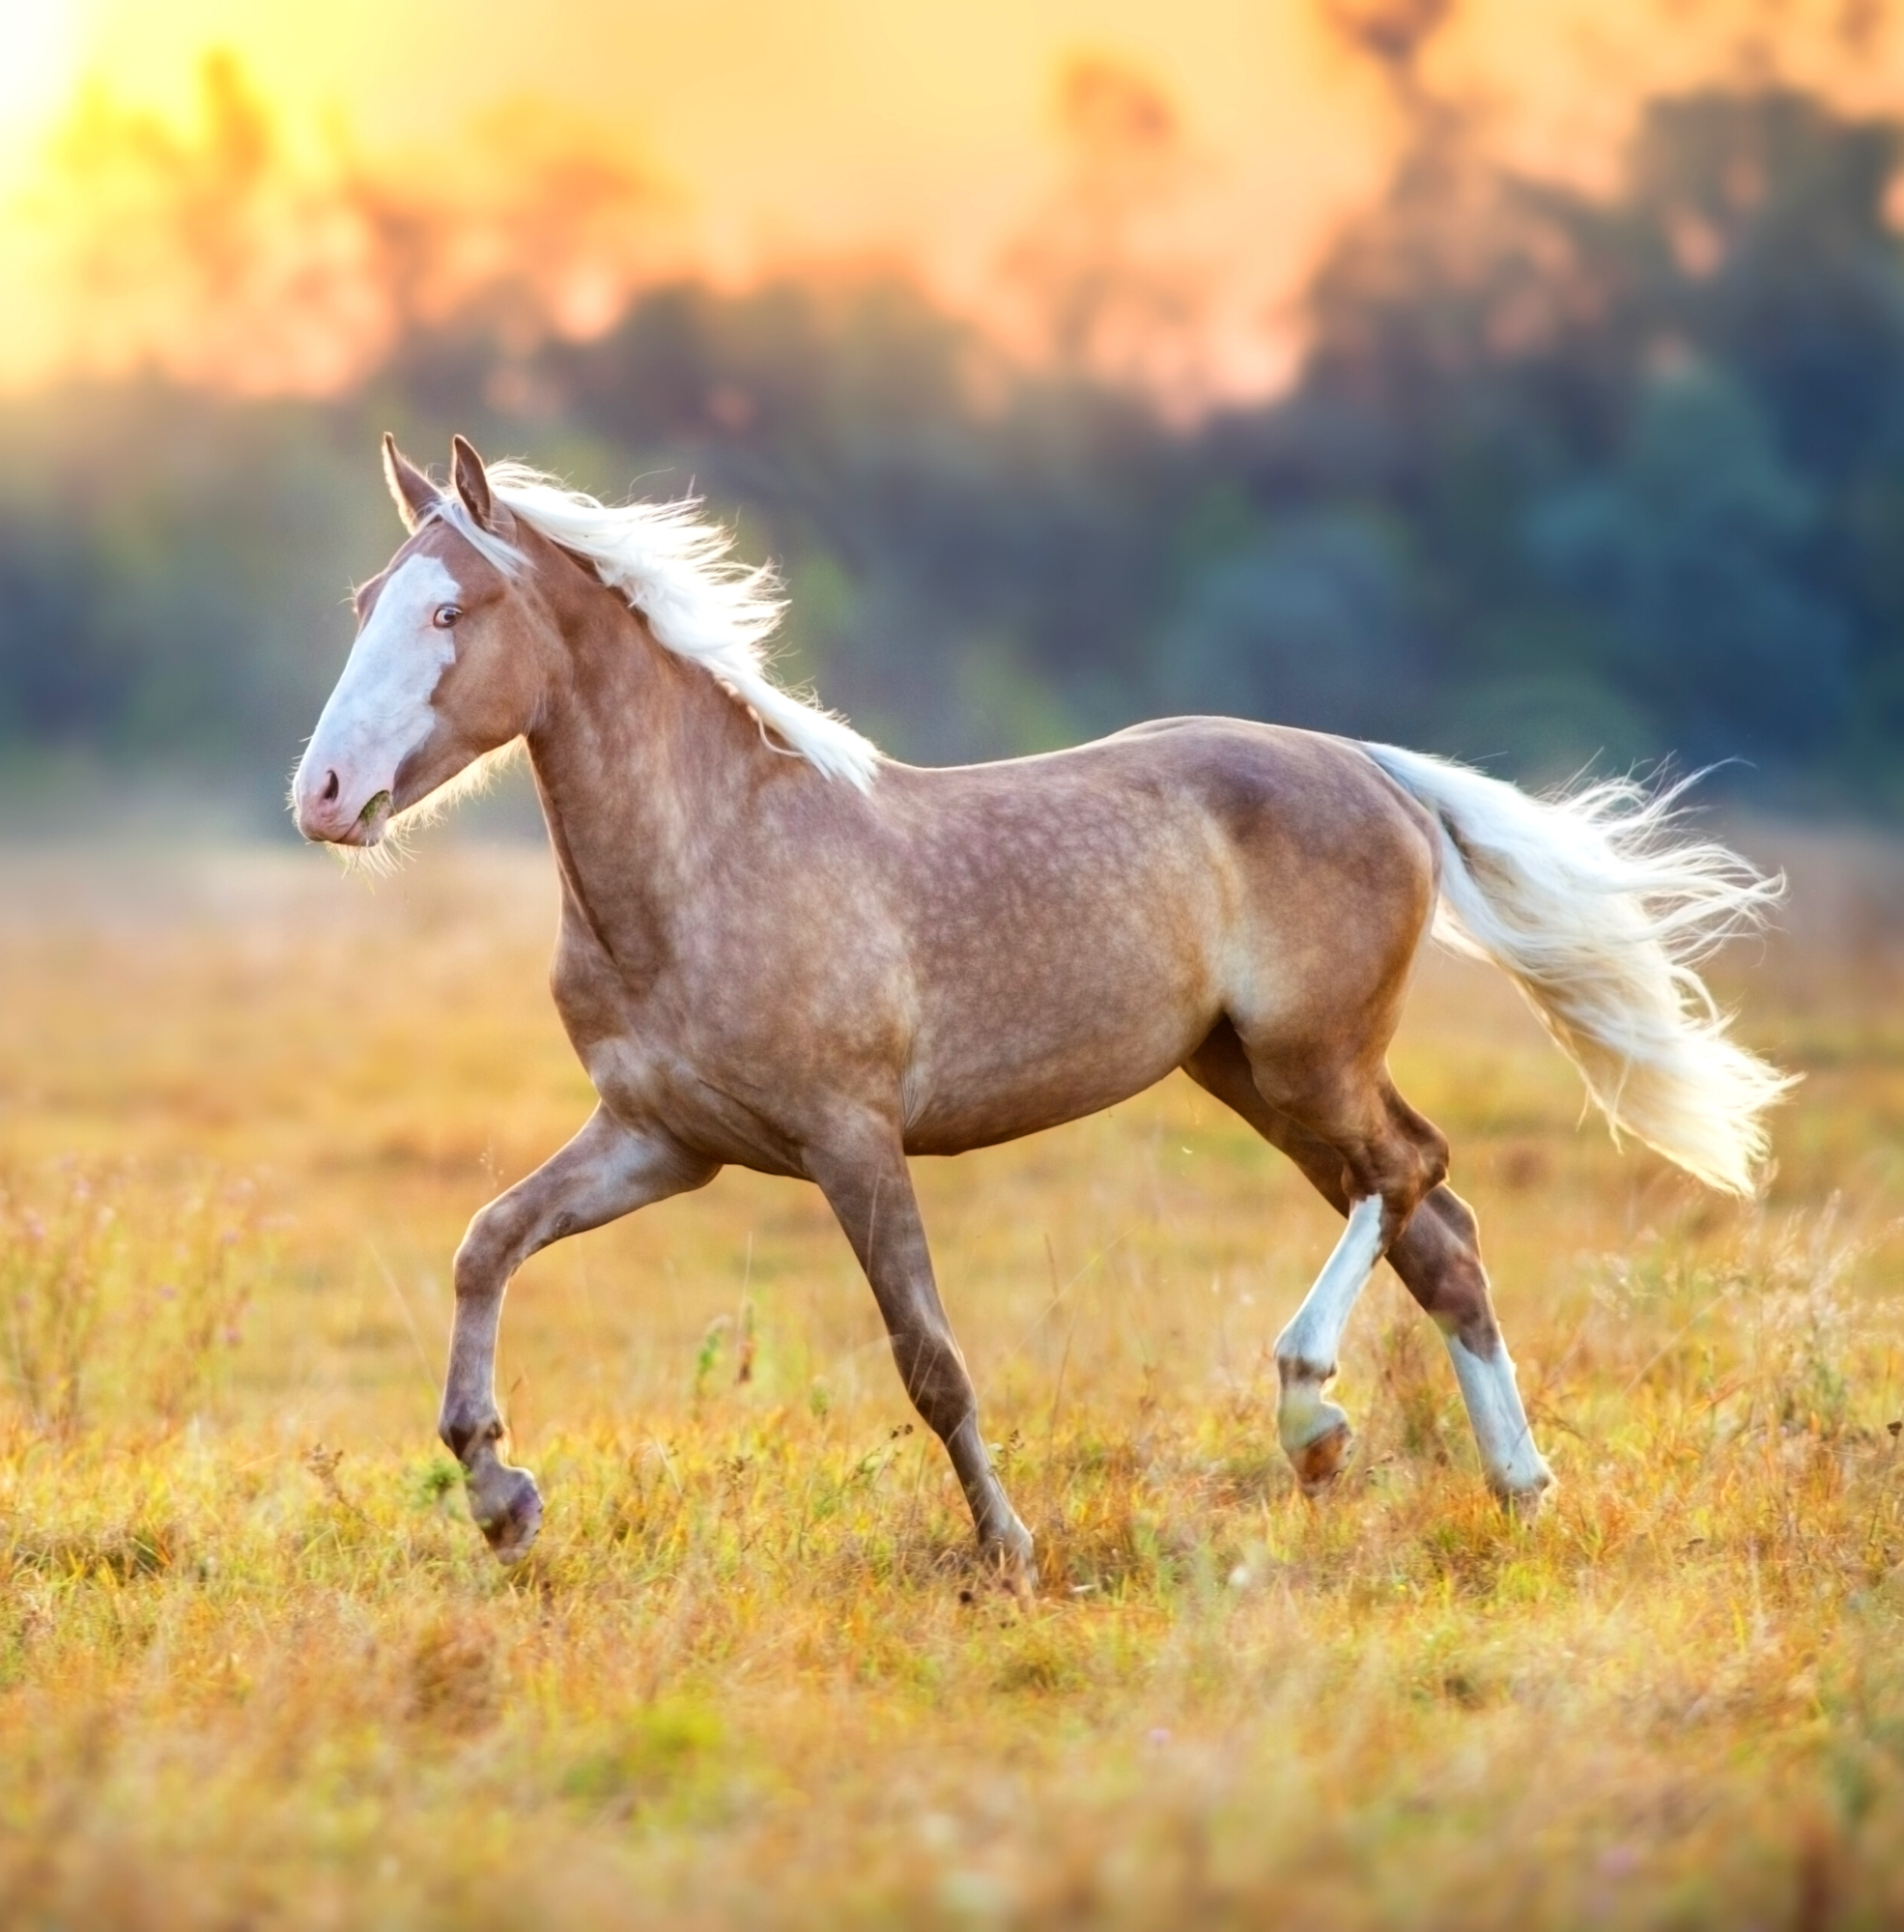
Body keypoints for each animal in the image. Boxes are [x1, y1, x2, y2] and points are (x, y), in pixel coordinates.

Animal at [289, 435, 1792, 1584]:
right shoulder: (663, 1141)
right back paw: (1514, 1487)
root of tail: (1372, 768)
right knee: (1445, 1237)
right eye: (360, 599)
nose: (322, 795)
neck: (704, 858)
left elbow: (930, 1358)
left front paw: (1006, 1548)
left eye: (449, 614)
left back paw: (1311, 1412)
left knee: (1412, 1174)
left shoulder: (849, 1140)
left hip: (1308, 1061)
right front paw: (501, 1498)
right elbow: (486, 1244)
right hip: (1248, 1075)